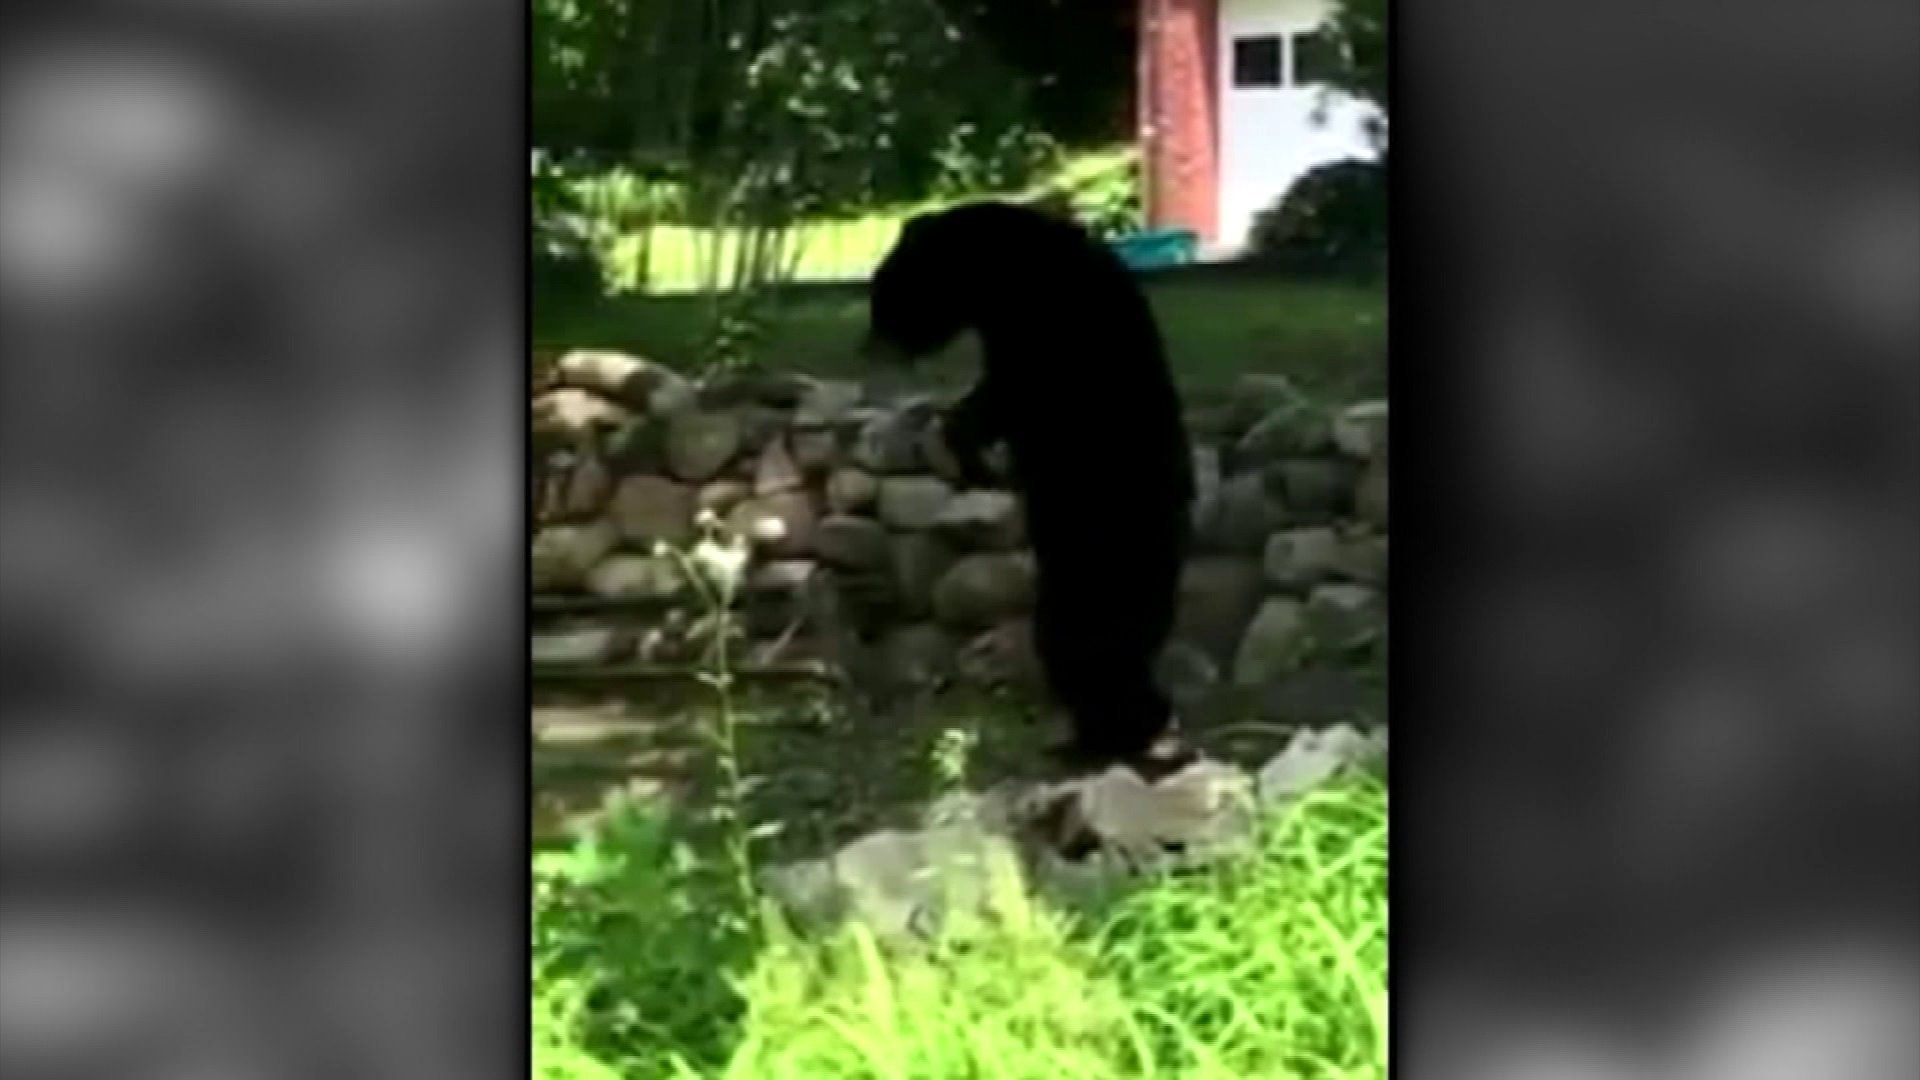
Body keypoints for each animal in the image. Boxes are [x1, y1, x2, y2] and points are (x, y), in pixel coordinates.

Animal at [863, 201, 1196, 773]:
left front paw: (973, 458)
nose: (877, 336)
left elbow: (992, 404)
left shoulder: (1037, 344)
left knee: (1095, 672)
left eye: (886, 287)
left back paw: (1112, 743)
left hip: (1086, 600)